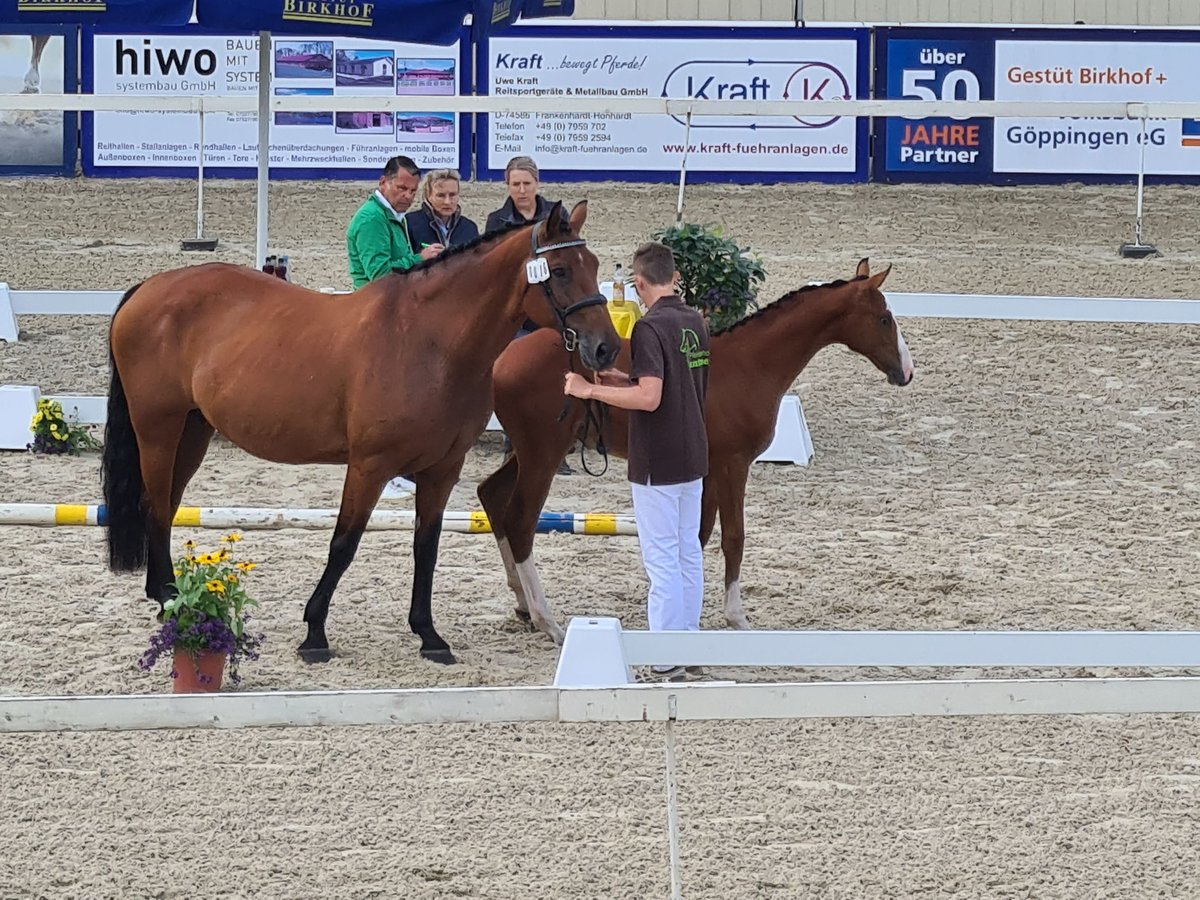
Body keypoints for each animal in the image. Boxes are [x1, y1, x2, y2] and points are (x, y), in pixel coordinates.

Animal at [102, 206, 619, 672]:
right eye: (560, 270)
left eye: (594, 266)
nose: (606, 348)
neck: (430, 343)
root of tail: (150, 287)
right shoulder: (370, 466)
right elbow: (343, 545)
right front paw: (314, 633)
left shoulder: (442, 469)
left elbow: (426, 548)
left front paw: (429, 635)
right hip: (158, 429)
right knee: (156, 506)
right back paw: (172, 602)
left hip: (192, 430)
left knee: (167, 505)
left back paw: (167, 596)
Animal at [472, 259, 912, 643]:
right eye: (883, 318)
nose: (906, 372)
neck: (750, 365)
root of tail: (501, 359)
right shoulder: (734, 465)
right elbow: (733, 537)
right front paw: (736, 617)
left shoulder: (708, 469)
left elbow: (697, 536)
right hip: (542, 456)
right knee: (520, 521)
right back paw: (547, 621)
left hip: (531, 453)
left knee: (491, 496)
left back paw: (523, 605)